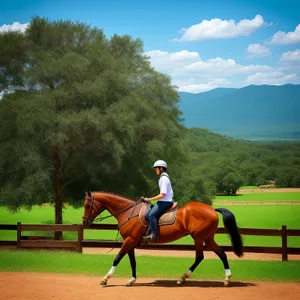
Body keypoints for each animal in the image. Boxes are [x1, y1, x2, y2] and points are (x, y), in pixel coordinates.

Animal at [82, 191, 244, 288]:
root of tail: (212, 209)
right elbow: (132, 262)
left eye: (88, 205)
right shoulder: (131, 242)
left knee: (200, 256)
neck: (128, 212)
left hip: (199, 238)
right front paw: (132, 280)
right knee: (221, 254)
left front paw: (106, 278)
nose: (84, 222)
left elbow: (117, 258)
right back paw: (225, 279)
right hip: (207, 238)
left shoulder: (129, 240)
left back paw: (184, 278)